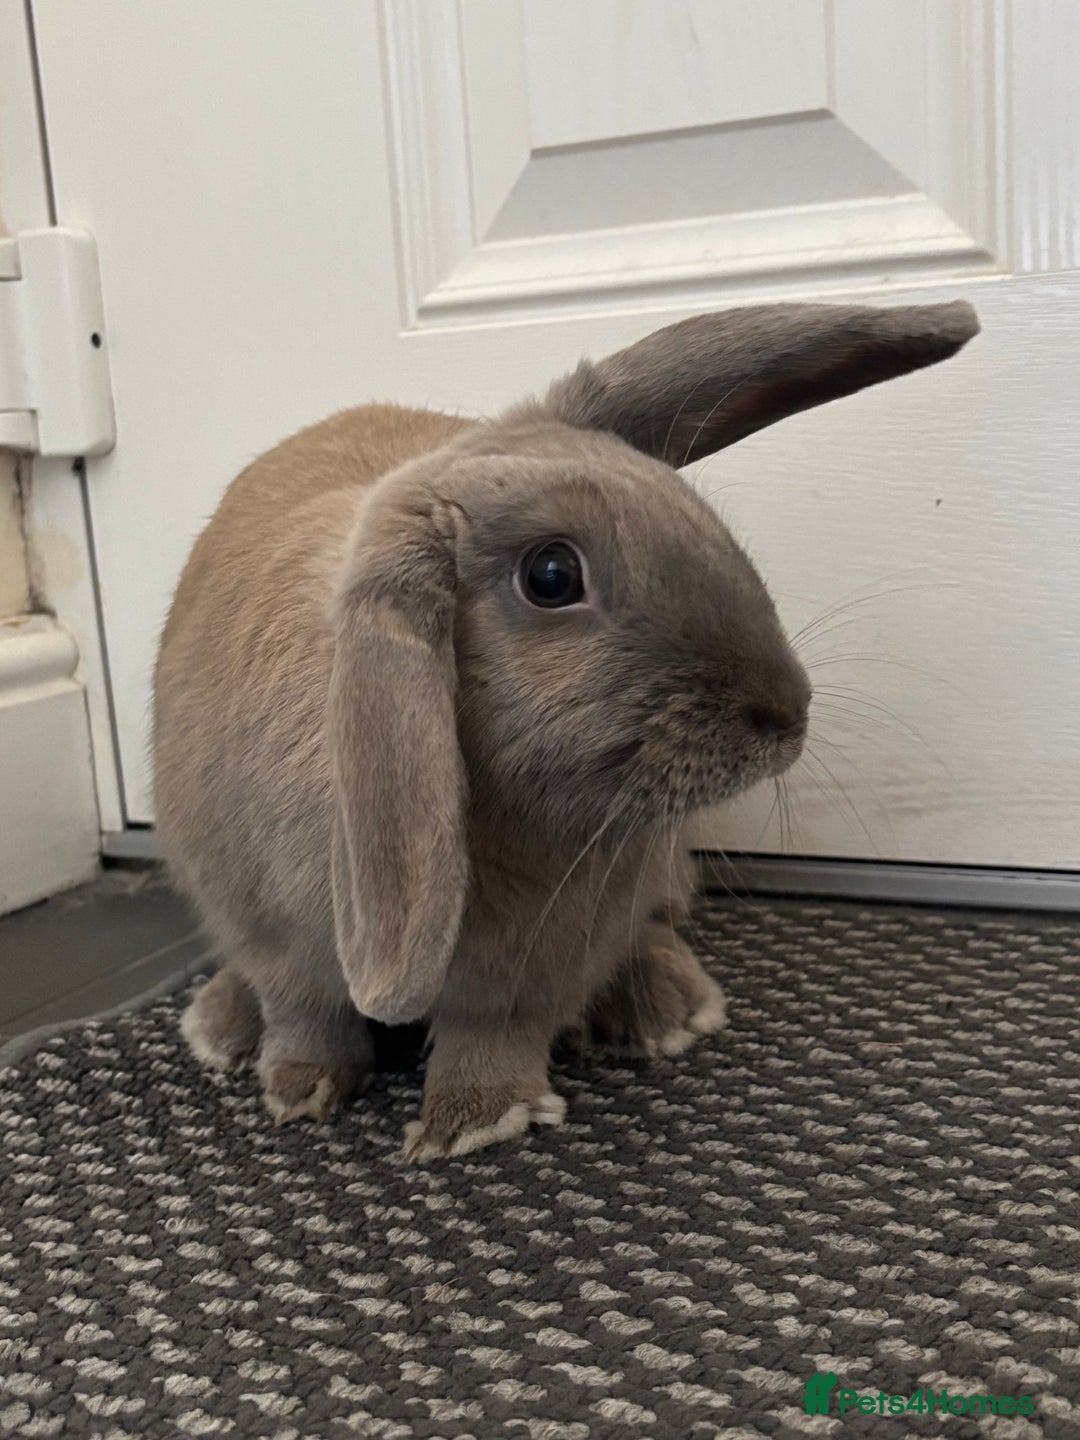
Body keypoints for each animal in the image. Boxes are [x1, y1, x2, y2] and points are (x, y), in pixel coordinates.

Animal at [154, 300, 978, 1159]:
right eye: (551, 576)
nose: (787, 715)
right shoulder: (269, 933)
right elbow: (305, 1015)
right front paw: (298, 1091)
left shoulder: (539, 967)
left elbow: (496, 1036)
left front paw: (473, 1123)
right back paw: (220, 1026)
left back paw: (667, 1011)